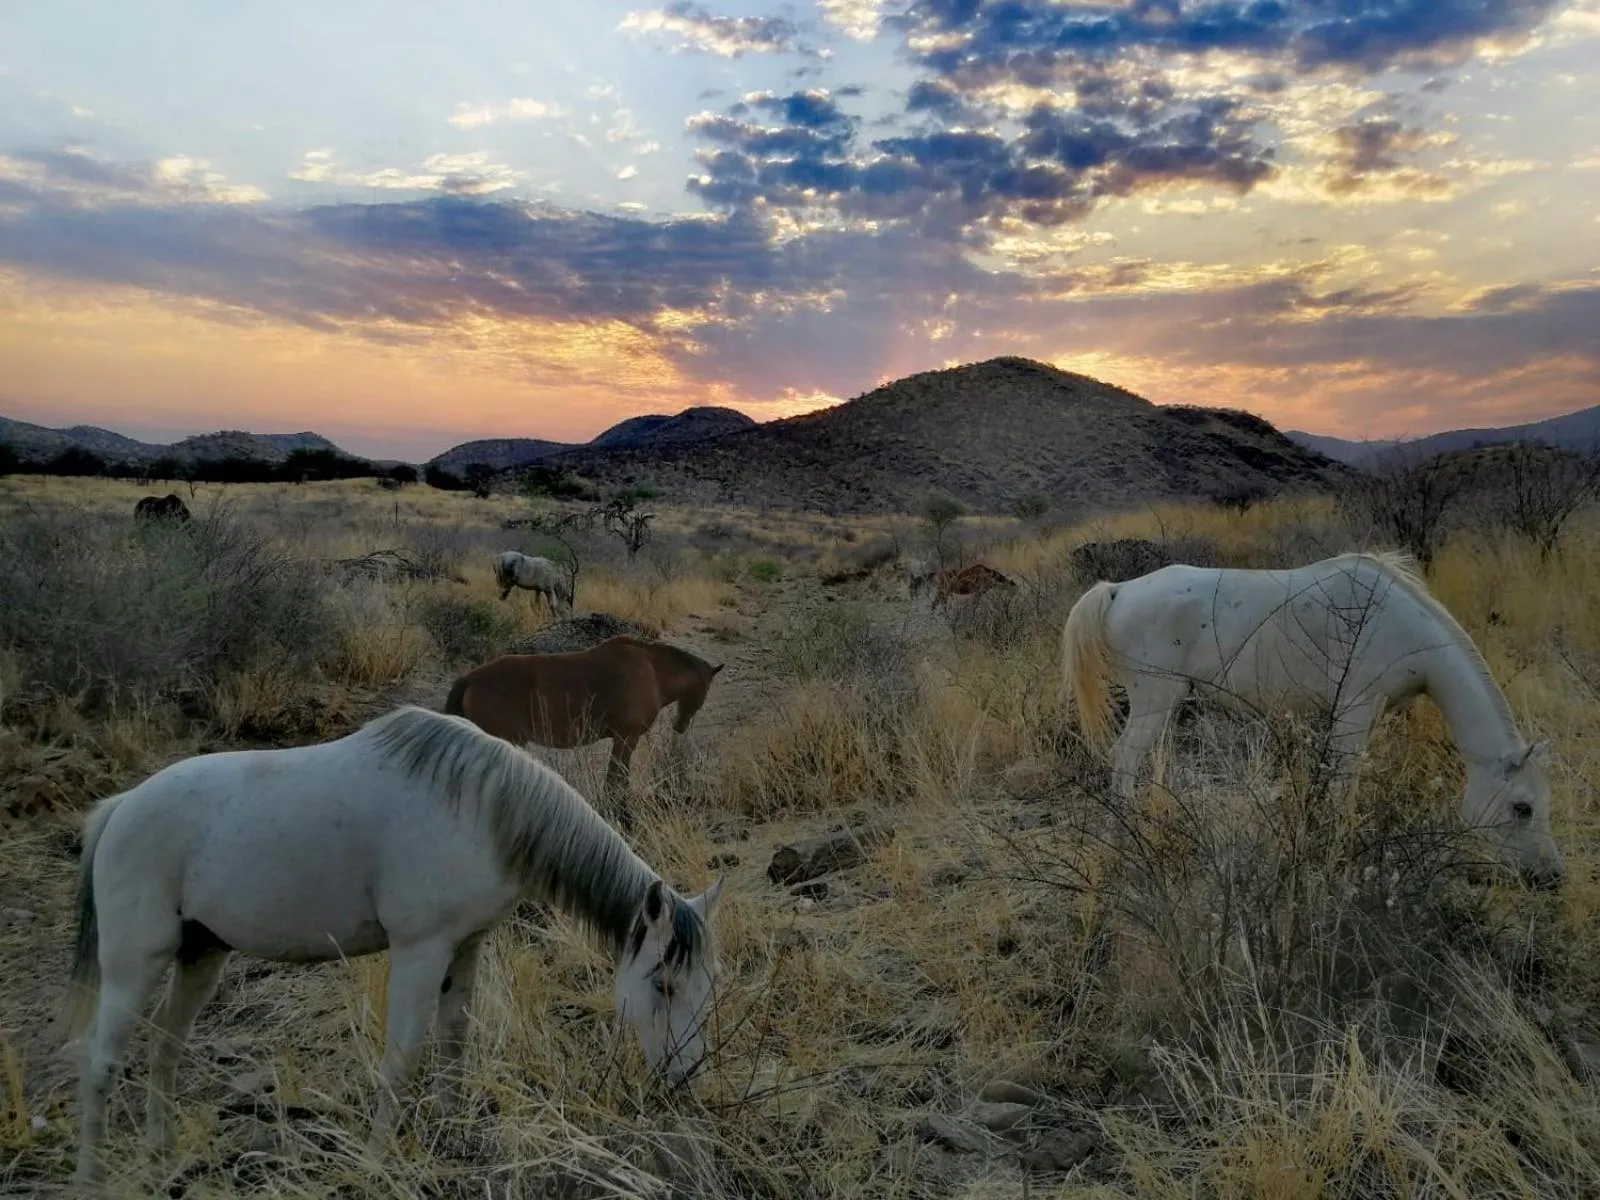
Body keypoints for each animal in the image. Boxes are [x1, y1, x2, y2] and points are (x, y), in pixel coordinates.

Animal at [63, 705, 724, 1190]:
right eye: (663, 984)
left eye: (707, 986)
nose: (685, 1078)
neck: (485, 808)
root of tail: (120, 810)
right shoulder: (419, 951)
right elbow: (403, 1058)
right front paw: (378, 1159)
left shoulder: (466, 946)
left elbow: (455, 1042)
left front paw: (453, 1132)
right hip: (133, 966)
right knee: (100, 1062)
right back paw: (92, 1176)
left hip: (201, 956)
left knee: (165, 1049)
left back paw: (159, 1155)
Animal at [445, 635, 724, 824]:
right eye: (706, 688)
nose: (680, 725)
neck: (652, 670)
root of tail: (470, 678)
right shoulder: (626, 739)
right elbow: (617, 781)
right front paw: (623, 817)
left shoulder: (622, 740)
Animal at [1060, 550, 1567, 888]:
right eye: (1522, 807)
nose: (1552, 877)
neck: (1402, 627)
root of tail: (1119, 589)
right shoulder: (1354, 713)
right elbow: (1344, 789)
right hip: (1155, 699)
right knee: (1124, 760)